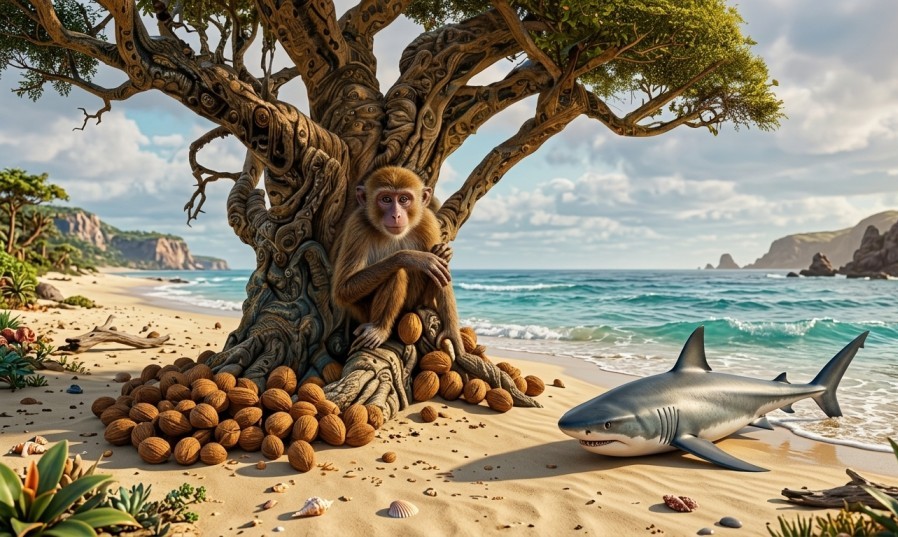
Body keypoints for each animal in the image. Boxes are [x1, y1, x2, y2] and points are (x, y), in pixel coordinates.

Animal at [332, 166, 463, 353]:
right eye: (386, 199)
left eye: (403, 199)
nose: (396, 215)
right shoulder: (356, 225)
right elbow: (343, 289)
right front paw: (411, 257)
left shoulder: (427, 221)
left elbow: (441, 270)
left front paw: (451, 332)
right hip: (363, 314)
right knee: (395, 272)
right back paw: (380, 329)